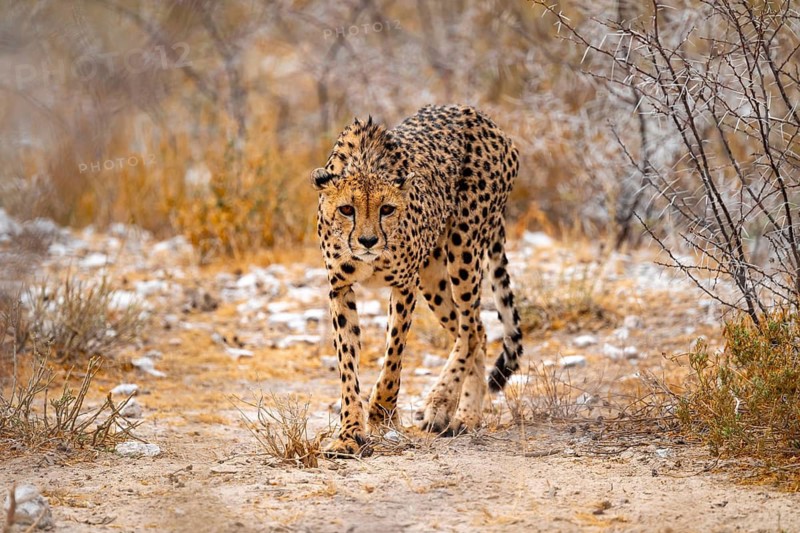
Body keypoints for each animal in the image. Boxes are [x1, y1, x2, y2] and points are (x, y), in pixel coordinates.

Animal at [311, 104, 523, 457]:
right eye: (346, 209)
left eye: (386, 209)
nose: (368, 241)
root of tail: (478, 115)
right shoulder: (340, 288)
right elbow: (347, 363)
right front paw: (349, 433)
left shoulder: (404, 285)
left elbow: (393, 357)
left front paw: (381, 413)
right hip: (432, 276)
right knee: (476, 330)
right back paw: (462, 413)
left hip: (464, 248)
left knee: (470, 328)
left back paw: (447, 406)